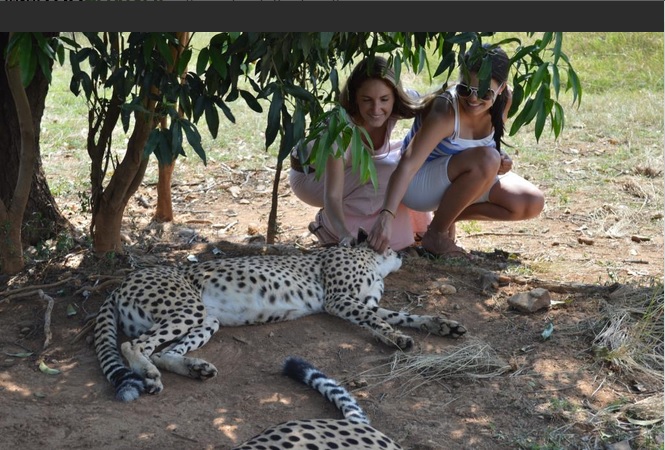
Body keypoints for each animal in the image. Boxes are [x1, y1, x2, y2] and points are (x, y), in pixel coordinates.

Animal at [94, 236, 466, 400]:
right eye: (390, 245)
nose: (404, 252)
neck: (372, 263)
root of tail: (124, 280)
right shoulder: (338, 300)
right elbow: (376, 319)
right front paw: (394, 336)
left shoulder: (364, 302)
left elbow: (402, 315)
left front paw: (440, 325)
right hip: (187, 309)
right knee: (133, 346)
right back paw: (149, 375)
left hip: (206, 319)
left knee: (162, 350)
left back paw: (194, 367)